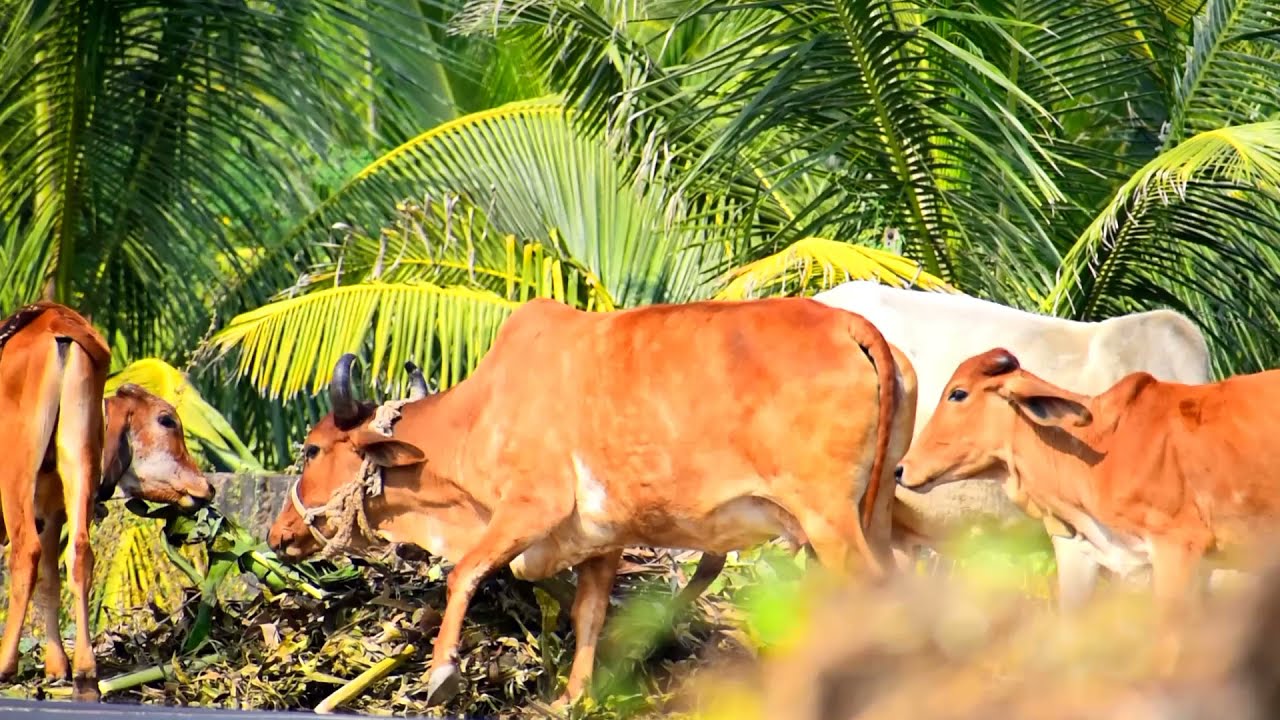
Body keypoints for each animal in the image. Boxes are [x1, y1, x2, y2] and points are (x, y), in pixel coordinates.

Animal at [0, 302, 214, 700]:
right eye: (167, 421)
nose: (207, 486)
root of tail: (56, 318)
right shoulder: (50, 508)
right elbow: (52, 580)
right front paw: (58, 667)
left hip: (16, 472)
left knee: (27, 553)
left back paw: (7, 665)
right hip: (75, 460)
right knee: (78, 554)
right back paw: (85, 674)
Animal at [267, 297, 917, 708]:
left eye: (312, 448)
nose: (278, 535)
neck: (479, 415)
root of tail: (850, 324)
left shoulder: (529, 507)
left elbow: (464, 573)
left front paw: (441, 672)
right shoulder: (605, 540)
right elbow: (590, 616)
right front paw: (573, 697)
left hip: (829, 519)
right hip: (877, 514)